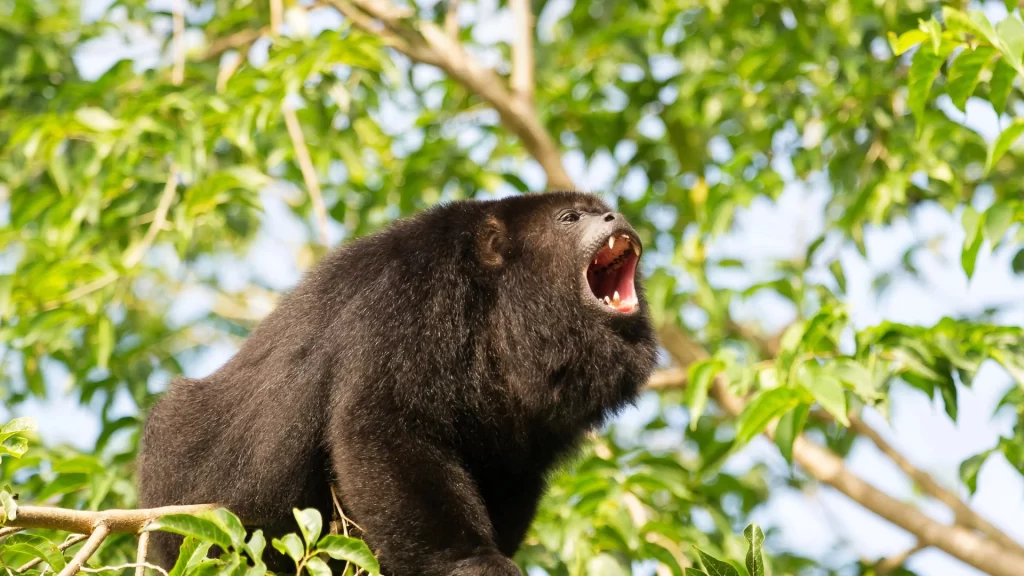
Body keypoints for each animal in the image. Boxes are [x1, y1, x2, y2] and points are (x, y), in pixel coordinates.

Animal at [136, 191, 659, 576]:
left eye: (602, 209)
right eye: (570, 218)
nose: (614, 215)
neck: (500, 303)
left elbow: (511, 470)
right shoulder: (412, 296)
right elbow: (383, 426)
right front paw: (470, 561)